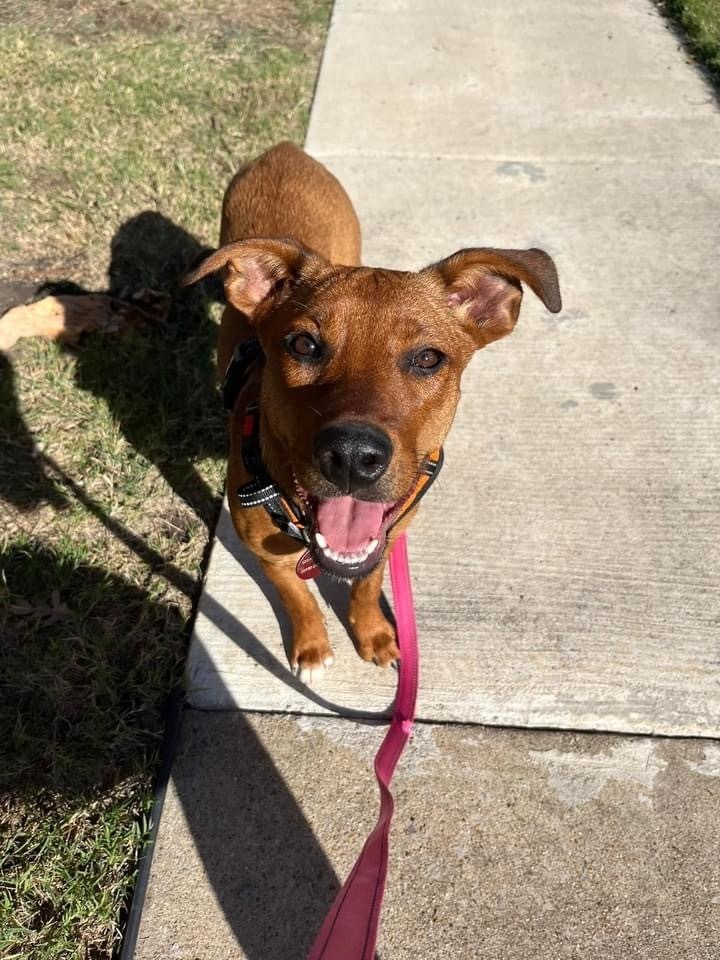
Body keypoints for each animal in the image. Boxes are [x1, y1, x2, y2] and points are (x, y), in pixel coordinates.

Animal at [183, 142, 560, 684]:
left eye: (428, 358)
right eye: (303, 345)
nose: (352, 456)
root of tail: (285, 149)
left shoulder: (391, 530)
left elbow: (365, 583)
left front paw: (376, 635)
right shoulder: (264, 552)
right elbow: (297, 596)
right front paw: (312, 647)